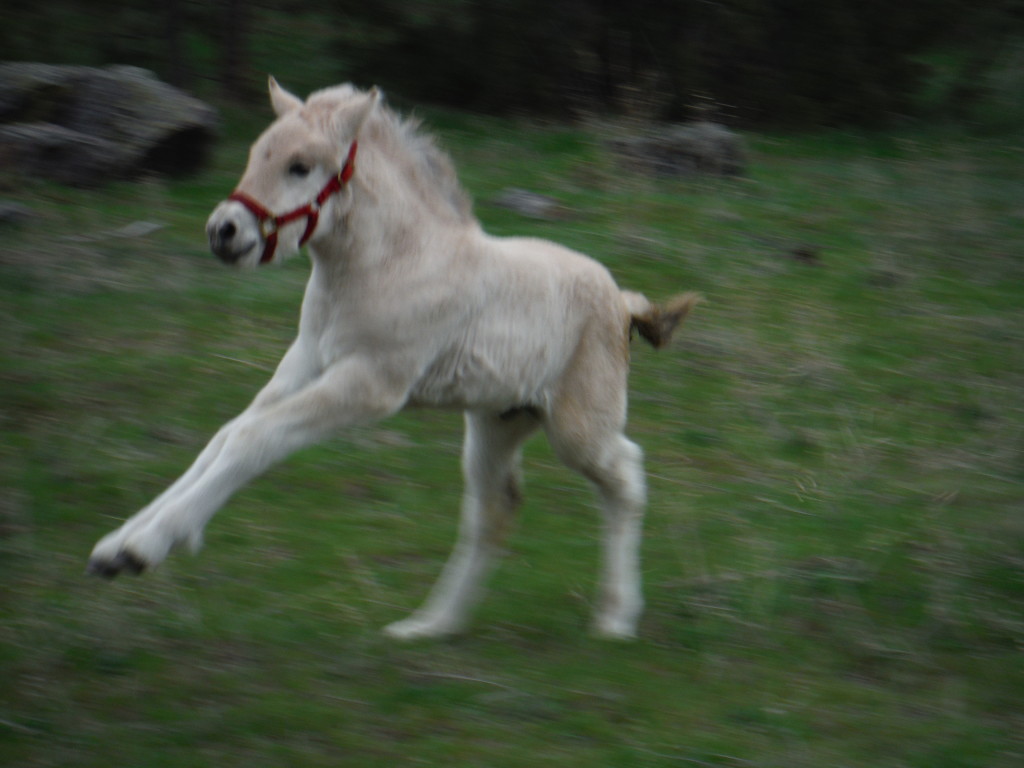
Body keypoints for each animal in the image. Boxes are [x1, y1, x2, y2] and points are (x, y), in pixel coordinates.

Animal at [88, 78, 699, 639]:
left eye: (300, 166)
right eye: (256, 154)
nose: (223, 231)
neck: (383, 265)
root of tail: (622, 300)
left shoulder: (369, 384)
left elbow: (252, 438)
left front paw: (147, 545)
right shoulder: (304, 367)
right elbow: (224, 436)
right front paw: (118, 546)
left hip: (577, 427)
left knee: (625, 476)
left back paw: (614, 618)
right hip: (496, 422)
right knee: (494, 510)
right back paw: (429, 626)